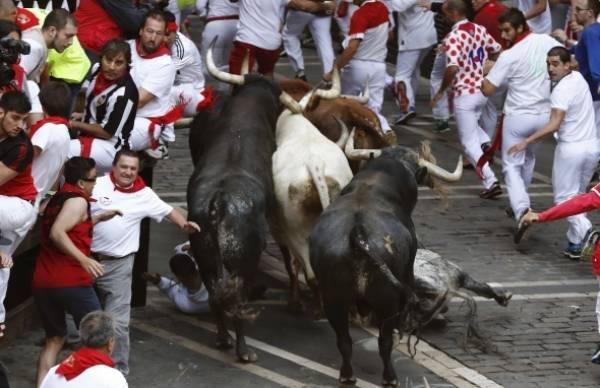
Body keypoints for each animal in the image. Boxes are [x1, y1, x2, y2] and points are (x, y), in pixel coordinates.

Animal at [186, 76, 282, 364]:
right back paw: (243, 350)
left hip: (204, 253)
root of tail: (219, 201)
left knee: (215, 294)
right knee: (237, 300)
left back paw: (223, 339)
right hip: (243, 260)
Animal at [310, 147, 446, 386]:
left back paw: (347, 375)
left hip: (334, 300)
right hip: (387, 302)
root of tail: (358, 233)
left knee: (344, 340)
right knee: (384, 342)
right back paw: (390, 377)